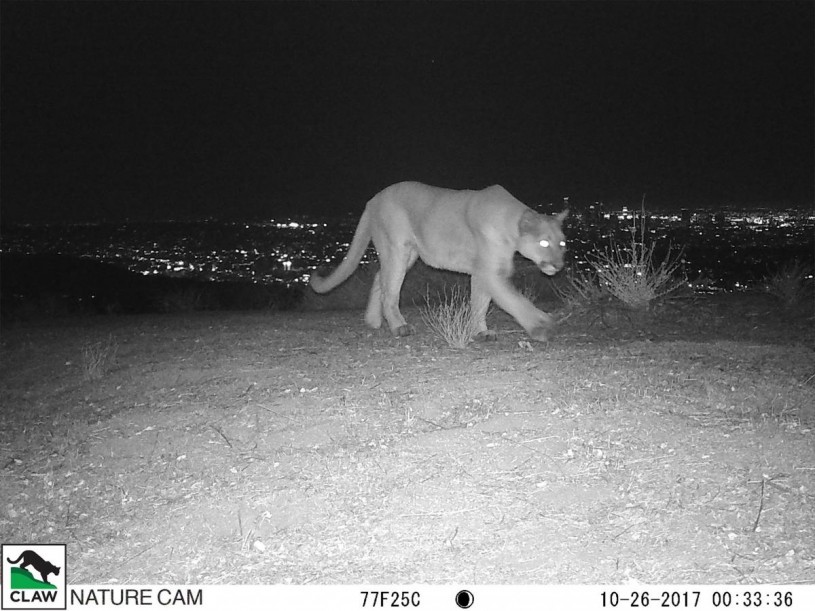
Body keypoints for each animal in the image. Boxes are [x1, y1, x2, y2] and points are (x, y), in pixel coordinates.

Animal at [310, 182, 572, 344]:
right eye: (544, 243)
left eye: (562, 243)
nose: (558, 266)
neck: (510, 225)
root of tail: (373, 199)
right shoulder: (491, 272)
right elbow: (515, 301)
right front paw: (542, 327)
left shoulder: (483, 272)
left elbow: (480, 303)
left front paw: (481, 332)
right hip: (397, 248)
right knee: (390, 290)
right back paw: (399, 327)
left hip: (408, 254)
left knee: (379, 279)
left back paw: (373, 321)